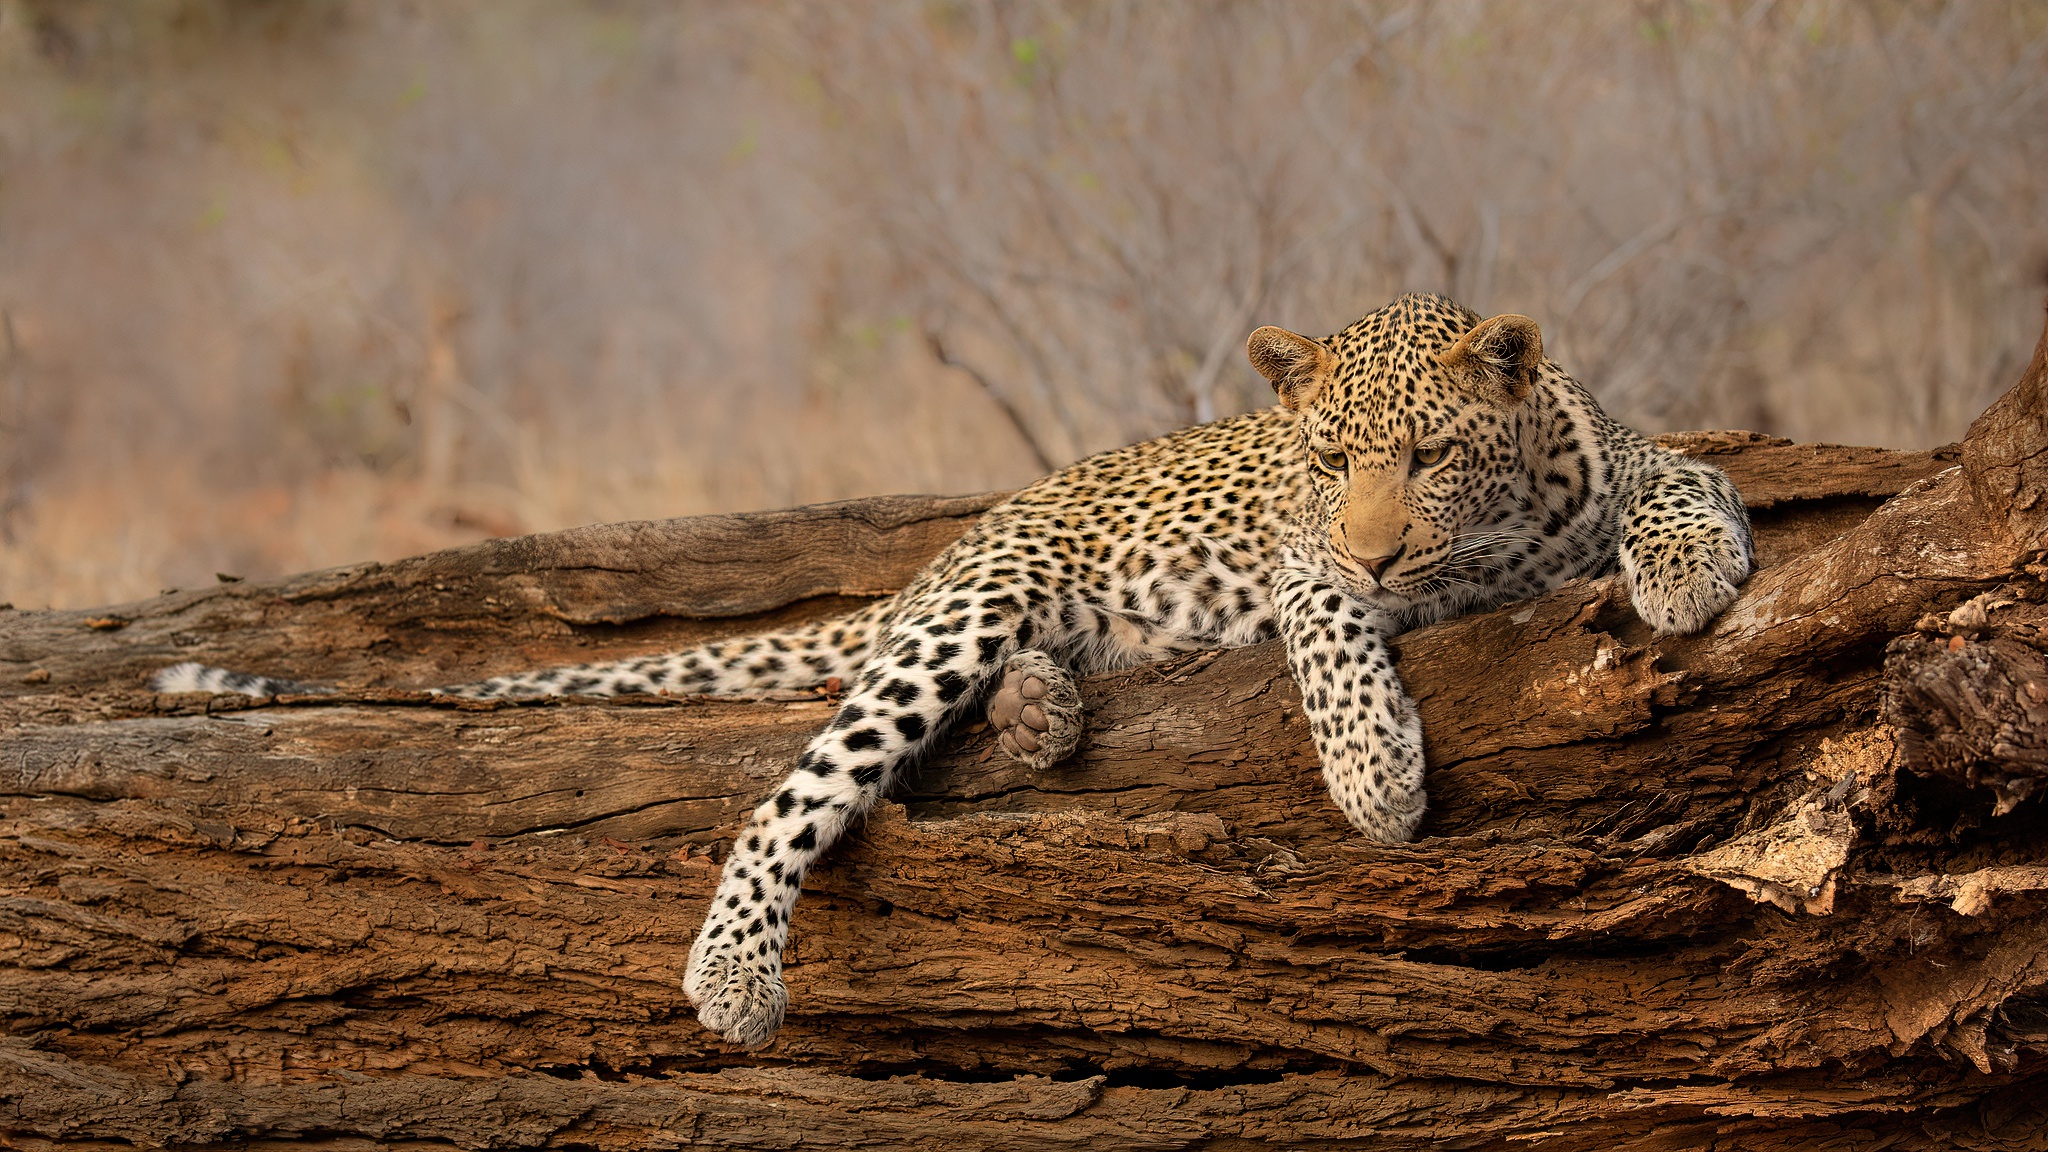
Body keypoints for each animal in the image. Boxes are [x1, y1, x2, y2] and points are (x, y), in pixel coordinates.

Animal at [155, 291, 1761, 1045]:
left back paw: (1047, 712)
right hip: (961, 618)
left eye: (1425, 457)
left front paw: (1684, 574)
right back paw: (734, 968)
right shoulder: (1307, 571)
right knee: (792, 793)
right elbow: (1331, 639)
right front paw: (1375, 777)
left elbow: (1687, 485)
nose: (1377, 549)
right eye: (1325, 465)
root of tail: (960, 538)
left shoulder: (1631, 460)